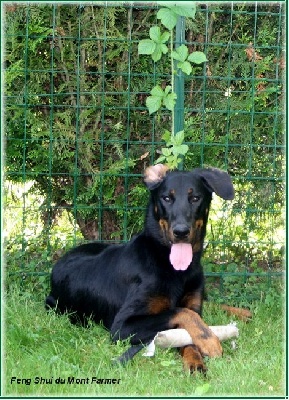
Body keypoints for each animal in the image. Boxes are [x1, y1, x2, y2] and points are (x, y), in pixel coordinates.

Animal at [45, 163, 234, 372]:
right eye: (166, 198)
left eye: (195, 198)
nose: (181, 232)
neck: (172, 267)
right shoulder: (121, 327)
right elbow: (180, 312)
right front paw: (209, 339)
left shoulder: (194, 303)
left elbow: (188, 330)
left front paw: (195, 361)